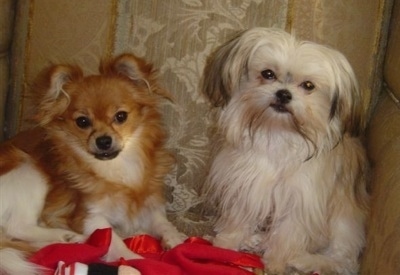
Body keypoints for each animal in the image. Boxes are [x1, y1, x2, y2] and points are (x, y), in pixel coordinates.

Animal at [202, 28, 370, 275]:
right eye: (268, 74)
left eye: (308, 85)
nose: (283, 94)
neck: (278, 132)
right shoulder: (246, 185)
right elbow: (238, 219)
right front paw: (226, 245)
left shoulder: (299, 200)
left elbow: (287, 235)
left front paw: (276, 264)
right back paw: (255, 240)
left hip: (344, 222)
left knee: (342, 260)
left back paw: (303, 260)